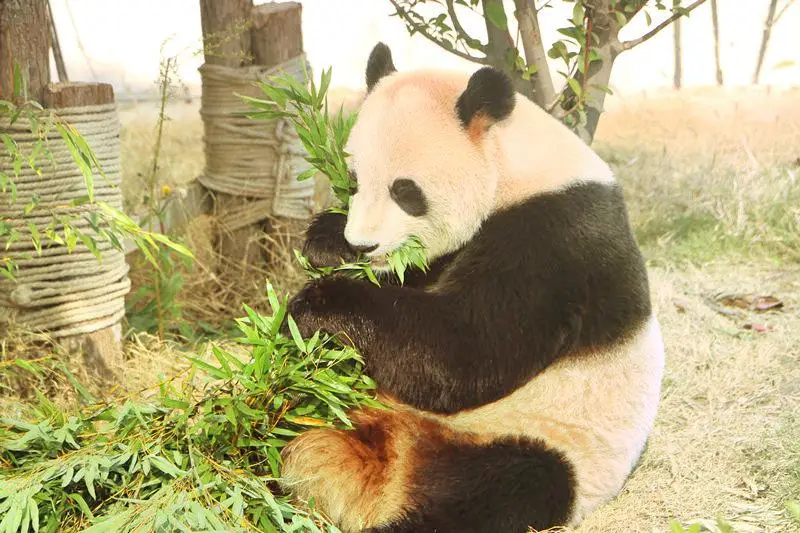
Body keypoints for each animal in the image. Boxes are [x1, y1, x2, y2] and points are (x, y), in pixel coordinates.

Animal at [278, 42, 664, 532]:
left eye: (405, 190)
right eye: (353, 181)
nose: (365, 245)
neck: (515, 164)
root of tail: (392, 471)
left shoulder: (554, 238)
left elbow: (464, 351)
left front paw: (315, 304)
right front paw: (327, 242)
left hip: (543, 444)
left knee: (504, 490)